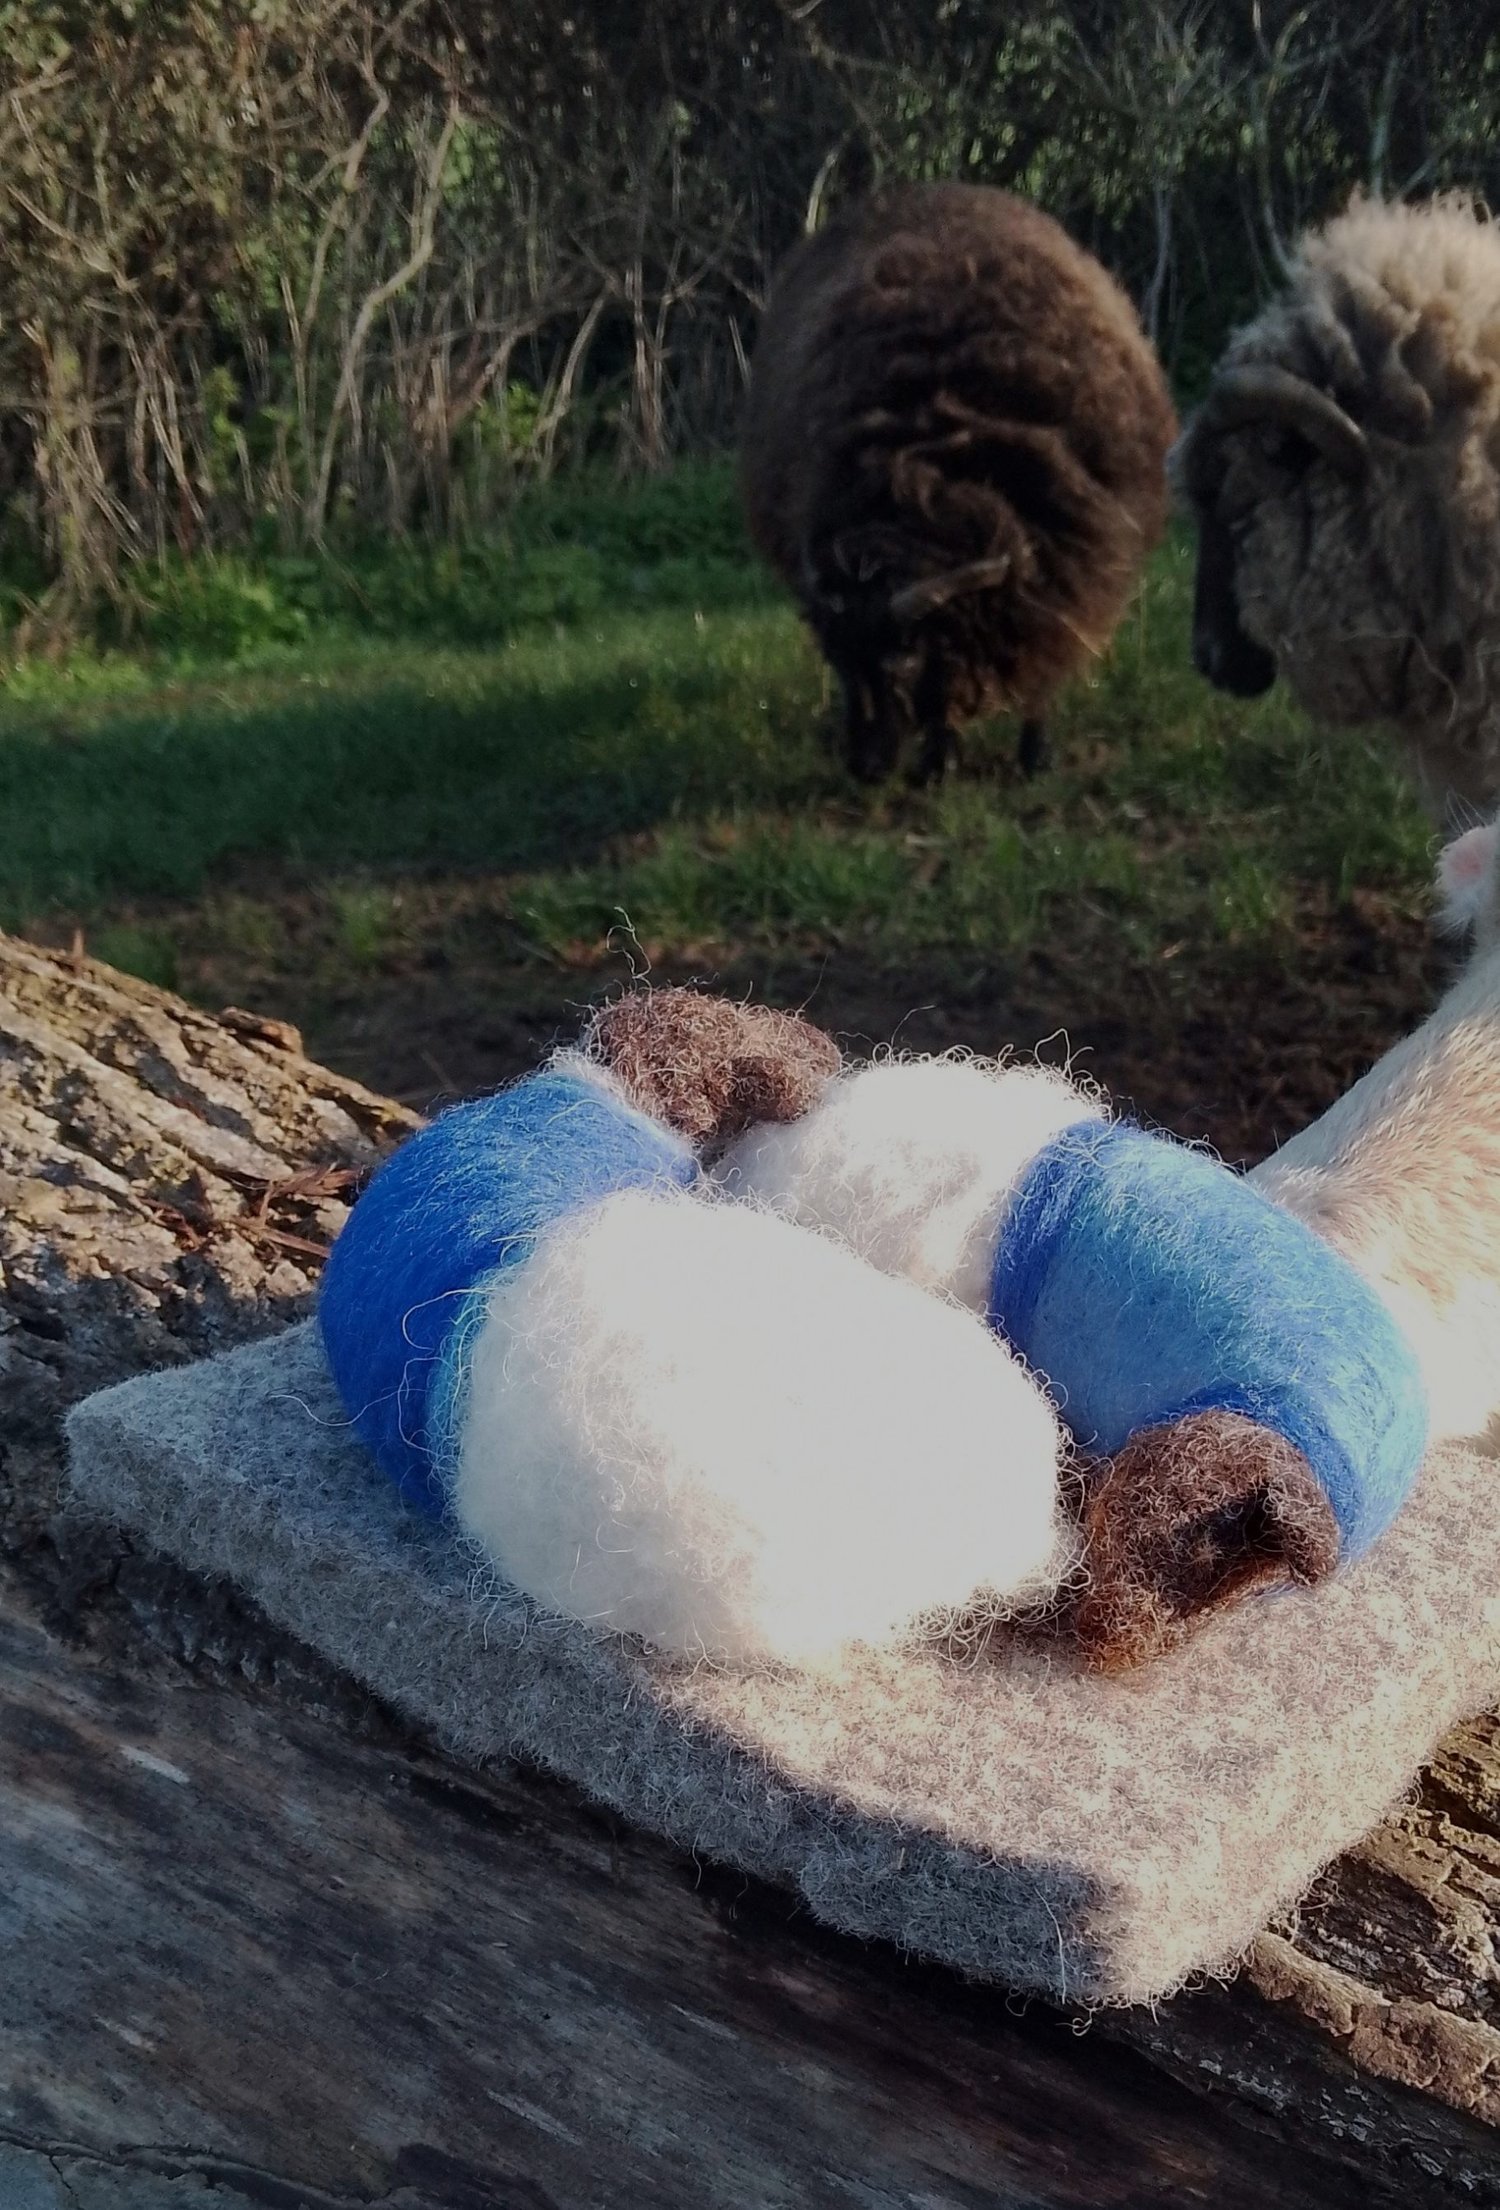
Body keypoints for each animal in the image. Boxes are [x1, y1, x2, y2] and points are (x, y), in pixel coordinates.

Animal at [739, 182, 1178, 784]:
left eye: (902, 658)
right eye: (838, 659)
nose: (865, 767)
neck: (923, 465)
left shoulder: (1062, 575)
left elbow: (1037, 668)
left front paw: (1033, 757)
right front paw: (937, 761)